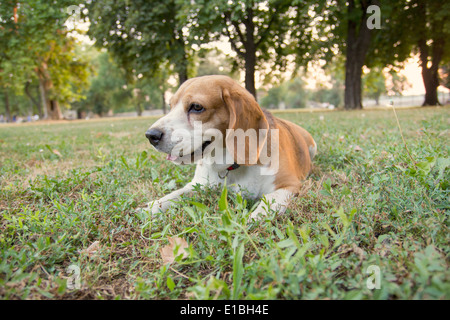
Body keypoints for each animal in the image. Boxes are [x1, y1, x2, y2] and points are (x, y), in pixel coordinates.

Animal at [144, 75, 316, 220]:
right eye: (170, 106)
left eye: (197, 107)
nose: (151, 135)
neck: (230, 165)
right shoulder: (197, 185)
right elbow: (175, 194)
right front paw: (151, 207)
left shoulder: (290, 185)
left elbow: (268, 200)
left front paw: (253, 219)